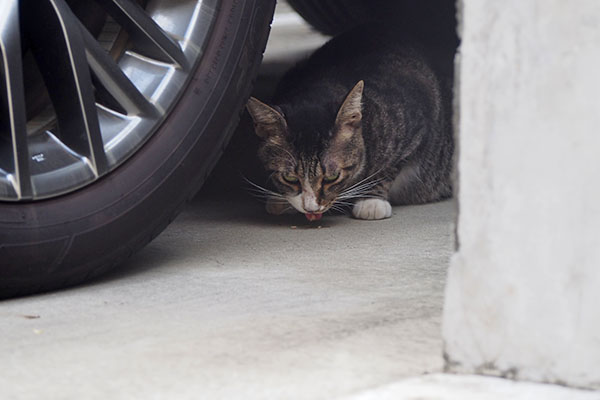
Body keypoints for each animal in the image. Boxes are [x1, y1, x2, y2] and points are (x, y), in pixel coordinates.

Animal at [246, 24, 452, 222]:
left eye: (332, 176)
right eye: (289, 177)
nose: (311, 208)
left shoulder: (416, 124)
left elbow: (389, 168)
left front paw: (371, 201)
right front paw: (280, 198)